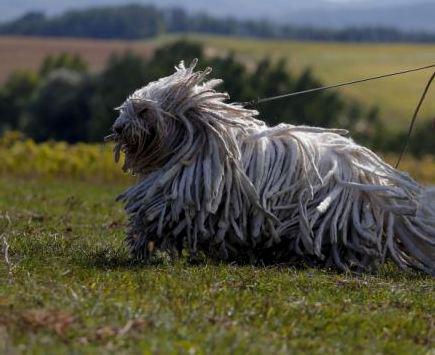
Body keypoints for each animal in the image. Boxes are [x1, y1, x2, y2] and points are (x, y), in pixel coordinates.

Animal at [106, 59, 435, 276]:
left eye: (144, 111)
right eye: (127, 107)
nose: (118, 128)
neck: (198, 138)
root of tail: (375, 179)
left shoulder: (183, 196)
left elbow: (154, 213)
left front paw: (139, 243)